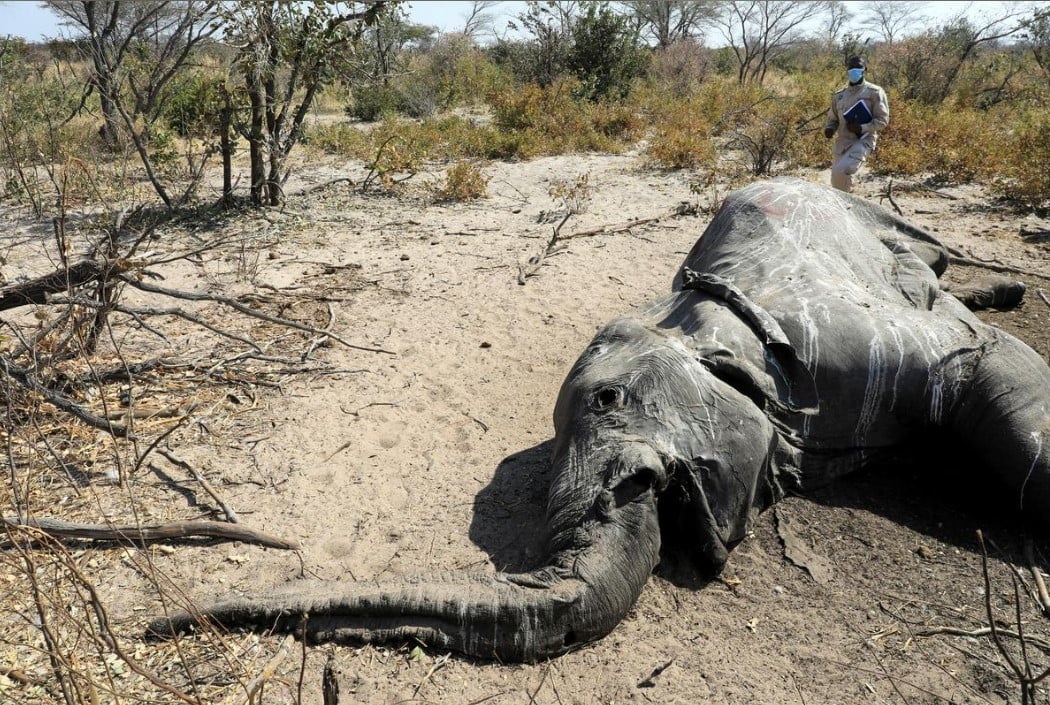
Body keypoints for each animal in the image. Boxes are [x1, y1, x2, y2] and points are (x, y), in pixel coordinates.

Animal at [150, 178, 1050, 663]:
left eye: (609, 402)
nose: (160, 620)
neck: (699, 313)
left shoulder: (857, 342)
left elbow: (989, 374)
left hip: (875, 217)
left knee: (934, 261)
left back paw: (1002, 286)